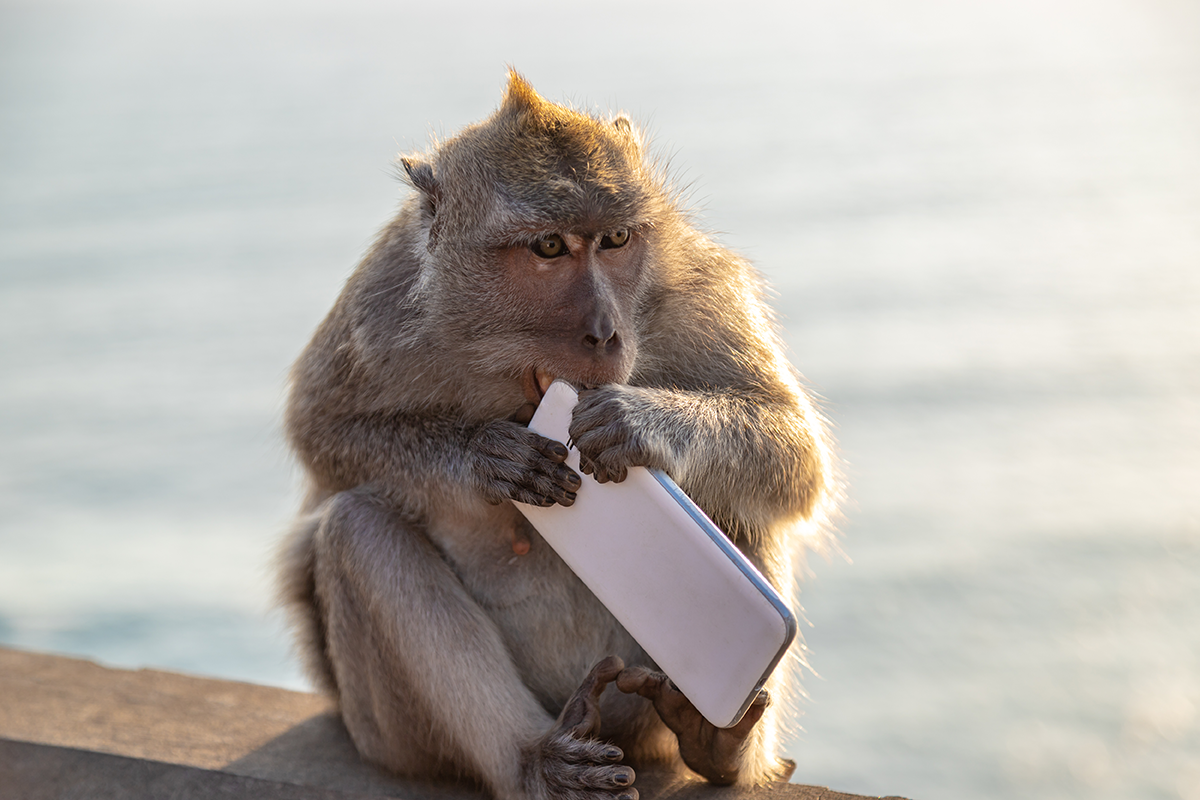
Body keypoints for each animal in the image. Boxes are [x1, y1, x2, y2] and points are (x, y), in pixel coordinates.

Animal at [274, 73, 835, 800]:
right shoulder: (387, 299)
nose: (605, 332)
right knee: (356, 527)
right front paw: (485, 456)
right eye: (548, 247)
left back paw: (718, 741)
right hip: (391, 735)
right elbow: (324, 429)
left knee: (739, 501)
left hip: (637, 708)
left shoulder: (696, 289)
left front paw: (637, 422)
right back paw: (536, 758)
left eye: (616, 238)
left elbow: (791, 447)